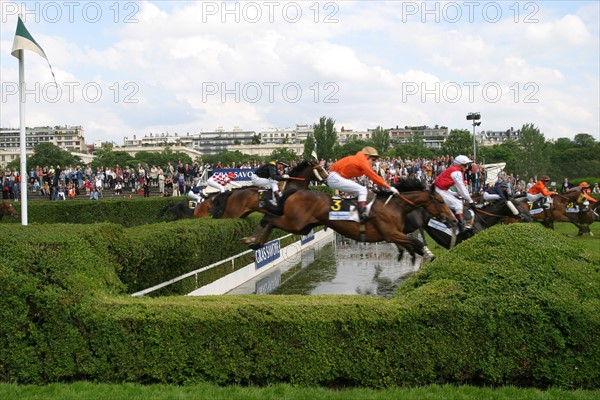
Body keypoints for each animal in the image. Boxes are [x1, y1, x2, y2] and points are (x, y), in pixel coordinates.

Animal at [241, 180, 458, 264]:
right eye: (440, 201)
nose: (453, 219)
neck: (395, 205)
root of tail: (296, 191)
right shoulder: (391, 233)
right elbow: (416, 242)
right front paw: (428, 254)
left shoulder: (397, 234)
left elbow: (413, 243)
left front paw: (420, 254)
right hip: (295, 222)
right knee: (269, 218)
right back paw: (253, 240)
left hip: (303, 227)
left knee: (272, 220)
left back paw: (256, 243)